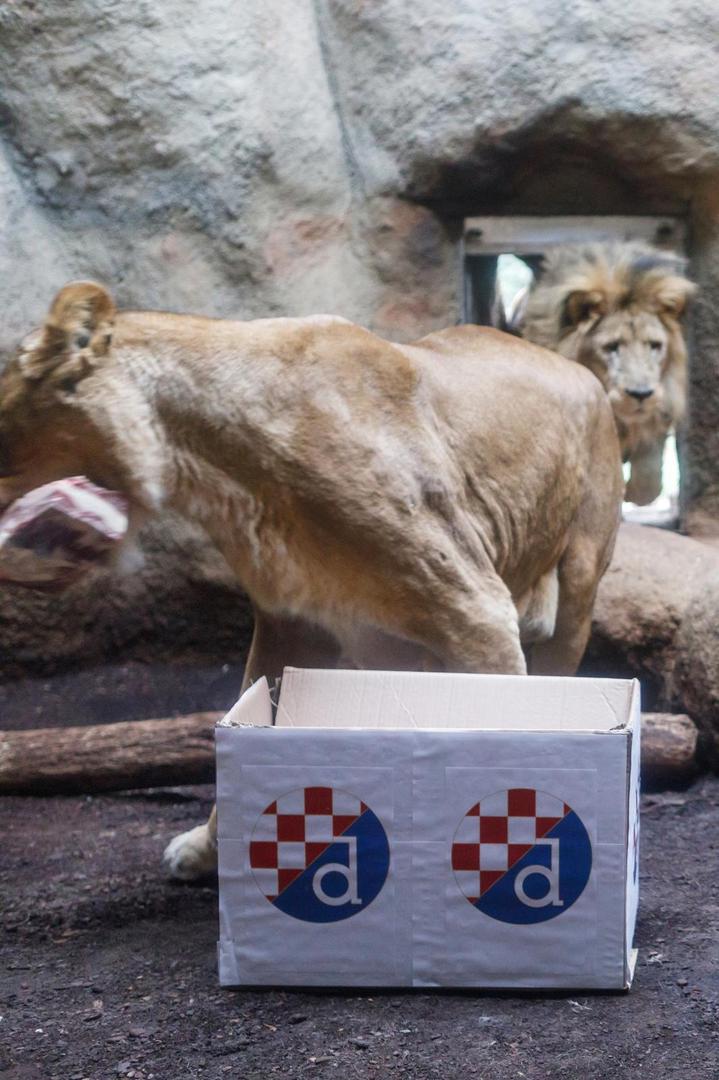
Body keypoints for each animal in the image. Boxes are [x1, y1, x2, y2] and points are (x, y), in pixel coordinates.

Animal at [0, 285, 617, 876]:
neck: (214, 465)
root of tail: (574, 366)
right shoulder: (291, 622)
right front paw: (209, 849)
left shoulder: (477, 610)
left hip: (578, 581)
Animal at [518, 243, 690, 503]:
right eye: (611, 347)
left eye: (654, 345)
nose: (641, 394)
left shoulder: (659, 411)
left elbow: (649, 481)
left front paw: (634, 492)